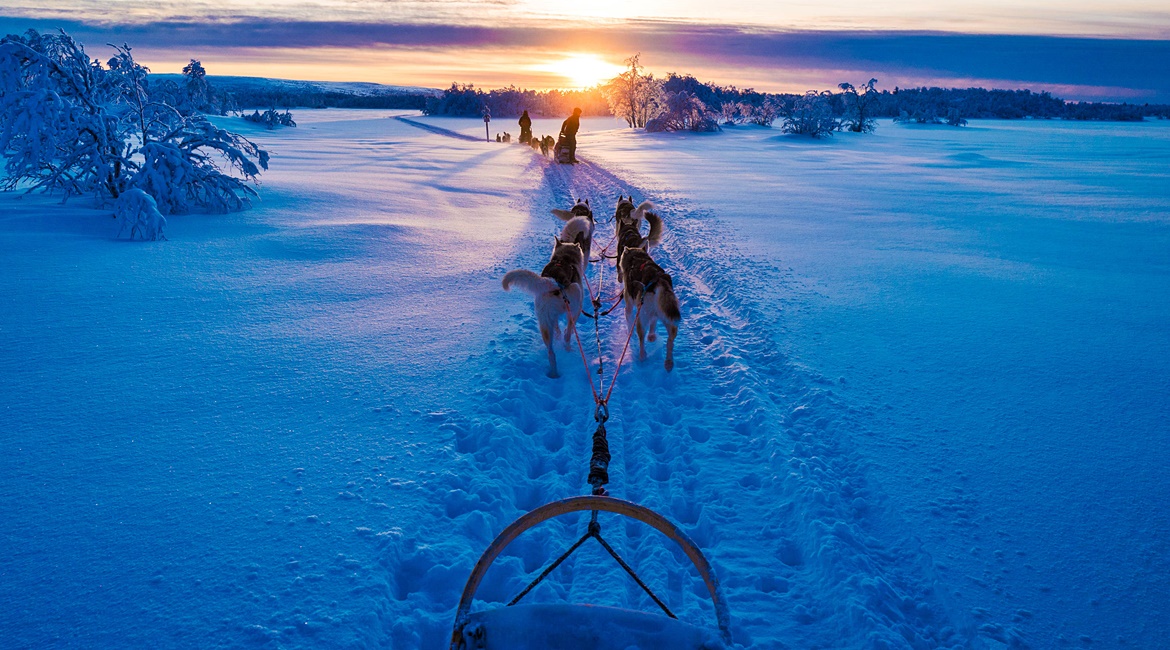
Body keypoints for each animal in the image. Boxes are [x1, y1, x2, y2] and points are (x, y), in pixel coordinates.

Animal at [500, 239, 585, 378]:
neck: (565, 258)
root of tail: (554, 282)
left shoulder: (554, 318)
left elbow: (557, 328)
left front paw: (558, 336)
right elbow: (567, 330)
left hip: (544, 323)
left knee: (551, 353)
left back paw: (554, 373)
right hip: (575, 295)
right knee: (568, 333)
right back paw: (568, 349)